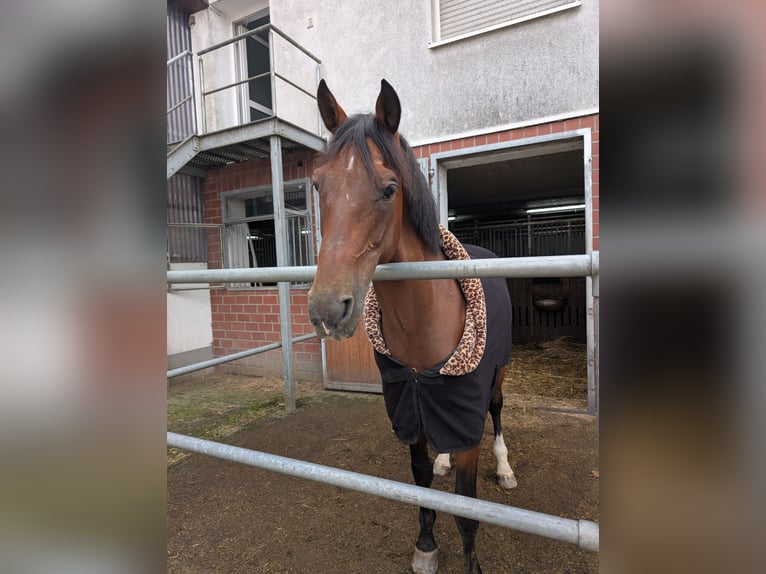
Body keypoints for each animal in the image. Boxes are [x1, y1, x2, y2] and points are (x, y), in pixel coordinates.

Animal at [308, 78, 516, 574]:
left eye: (388, 190)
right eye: (318, 185)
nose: (328, 308)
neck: (425, 320)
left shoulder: (463, 408)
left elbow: (466, 505)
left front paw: (471, 563)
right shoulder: (413, 403)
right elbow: (421, 480)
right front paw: (425, 545)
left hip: (498, 373)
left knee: (497, 411)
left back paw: (504, 468)